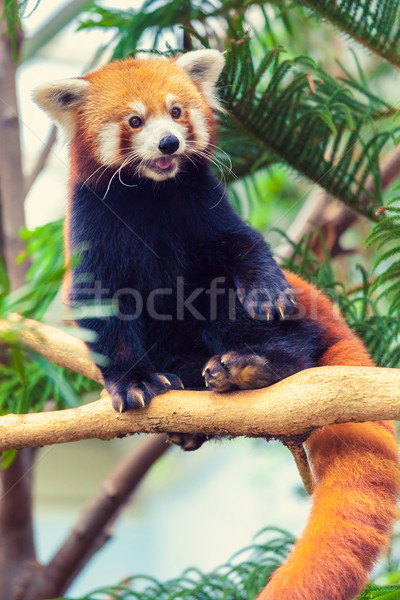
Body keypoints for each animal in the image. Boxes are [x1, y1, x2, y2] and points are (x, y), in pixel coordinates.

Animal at [32, 49, 398, 596]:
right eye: (135, 120)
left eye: (177, 111)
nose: (169, 142)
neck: (151, 193)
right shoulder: (92, 228)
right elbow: (101, 306)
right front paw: (131, 384)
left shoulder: (204, 207)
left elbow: (243, 245)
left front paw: (265, 289)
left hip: (287, 318)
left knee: (238, 308)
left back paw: (254, 367)